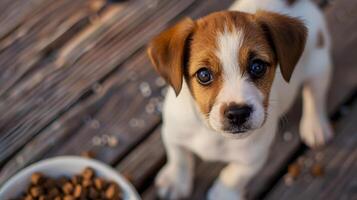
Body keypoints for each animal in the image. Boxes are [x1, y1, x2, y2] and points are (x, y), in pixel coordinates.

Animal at [146, 0, 332, 199]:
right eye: (204, 74)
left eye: (257, 66)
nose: (237, 113)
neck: (212, 133)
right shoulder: (172, 132)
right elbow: (178, 157)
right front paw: (175, 181)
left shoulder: (254, 156)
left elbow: (236, 175)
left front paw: (223, 193)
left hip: (319, 67)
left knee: (315, 96)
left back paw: (315, 126)